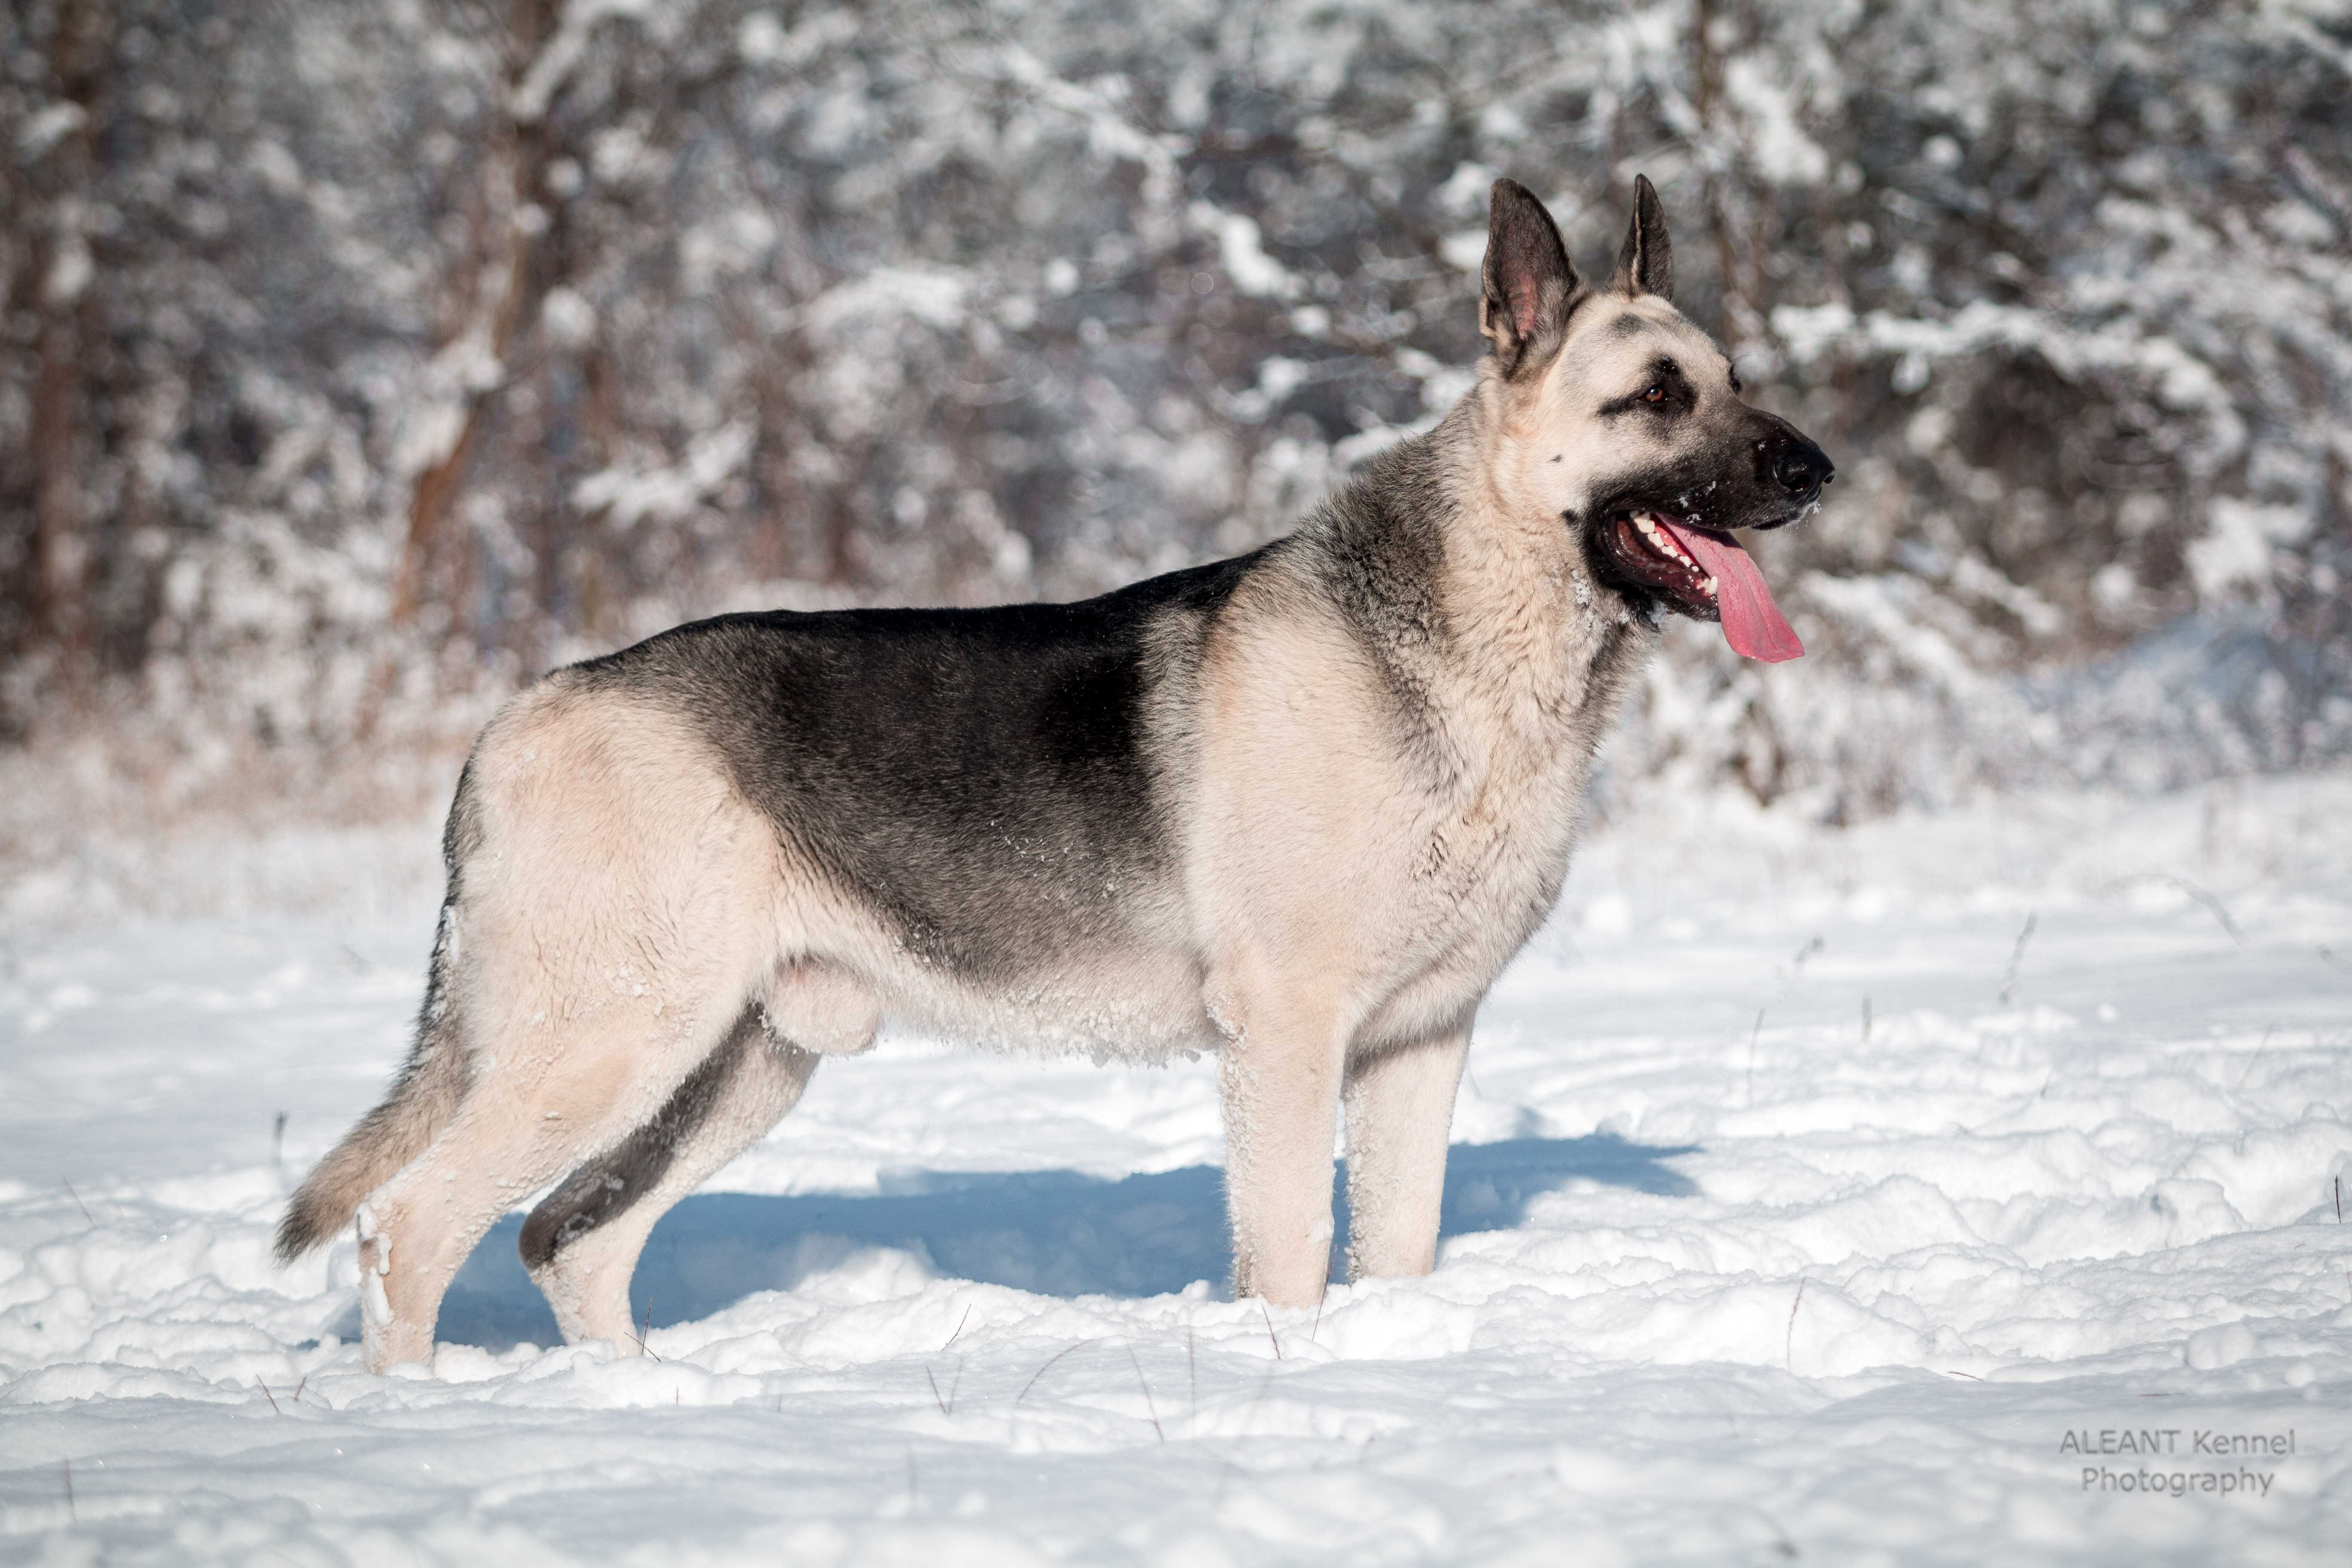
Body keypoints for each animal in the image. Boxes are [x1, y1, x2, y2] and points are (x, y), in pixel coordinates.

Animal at [280, 175, 1834, 1373]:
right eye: (1656, 397)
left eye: (1739, 383)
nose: (1818, 467)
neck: (1472, 633)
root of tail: (515, 717)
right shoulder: (1290, 1038)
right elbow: (1290, 1248)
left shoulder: (1421, 1041)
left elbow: (1396, 1244)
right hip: (611, 1046)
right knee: (411, 1230)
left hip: (737, 1066)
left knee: (572, 1244)